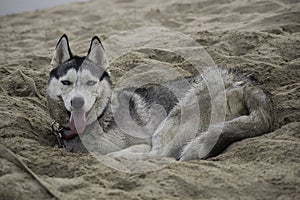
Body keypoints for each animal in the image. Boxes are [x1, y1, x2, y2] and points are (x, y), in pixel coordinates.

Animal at [47, 34, 274, 161]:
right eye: (66, 83)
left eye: (90, 83)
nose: (77, 102)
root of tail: (246, 81)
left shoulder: (143, 141)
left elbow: (139, 149)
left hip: (174, 116)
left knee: (157, 156)